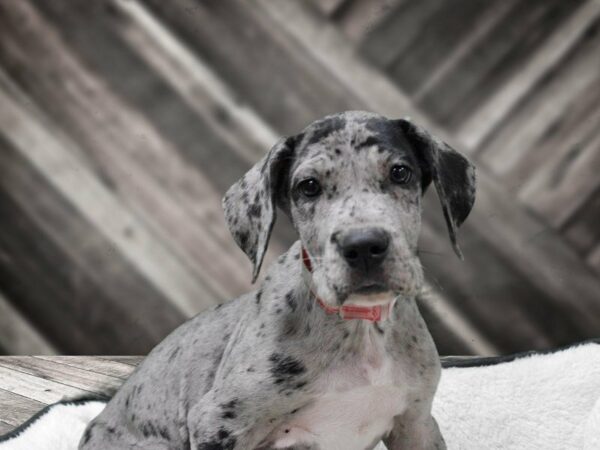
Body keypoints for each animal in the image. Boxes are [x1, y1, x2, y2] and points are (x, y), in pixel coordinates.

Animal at [79, 110, 476, 450]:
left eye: (400, 172)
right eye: (308, 186)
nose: (363, 246)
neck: (360, 327)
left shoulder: (417, 423)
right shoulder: (217, 422)